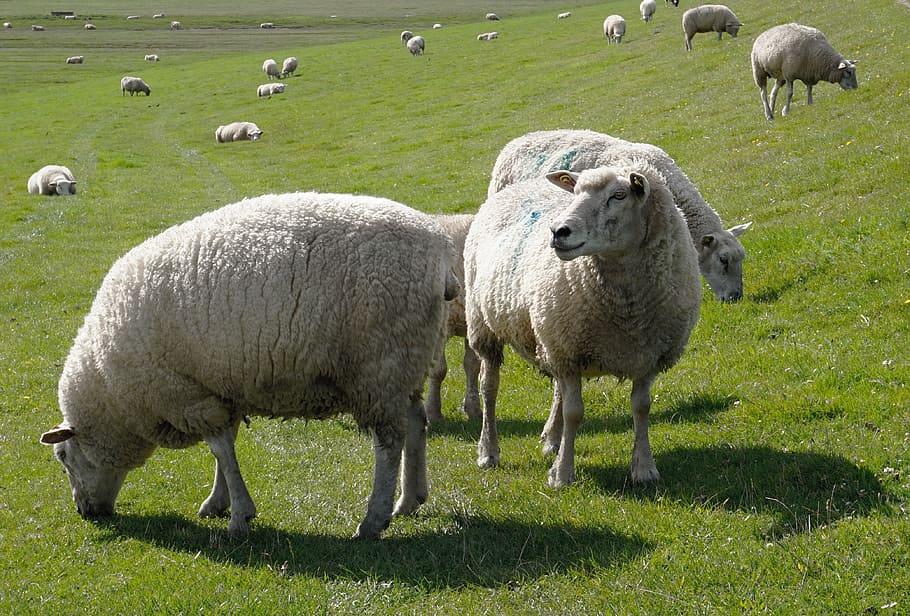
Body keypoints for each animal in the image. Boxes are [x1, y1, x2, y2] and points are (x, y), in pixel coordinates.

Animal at [40, 191, 458, 538]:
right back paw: (409, 500)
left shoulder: (186, 394)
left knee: (389, 441)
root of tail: (439, 252)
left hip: (379, 365)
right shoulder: (221, 388)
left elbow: (220, 448)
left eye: (63, 458)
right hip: (406, 361)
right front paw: (218, 501)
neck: (111, 391)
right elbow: (226, 447)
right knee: (415, 422)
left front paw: (239, 516)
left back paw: (373, 519)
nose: (85, 512)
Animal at [464, 166, 701, 487]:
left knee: (556, 390)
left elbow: (641, 407)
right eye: (575, 193)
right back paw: (488, 451)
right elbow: (574, 413)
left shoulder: (649, 356)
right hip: (485, 325)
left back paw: (552, 439)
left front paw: (644, 468)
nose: (558, 232)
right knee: (489, 387)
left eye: (619, 195)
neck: (627, 311)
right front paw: (563, 474)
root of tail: (516, 187)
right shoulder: (569, 354)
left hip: (551, 338)